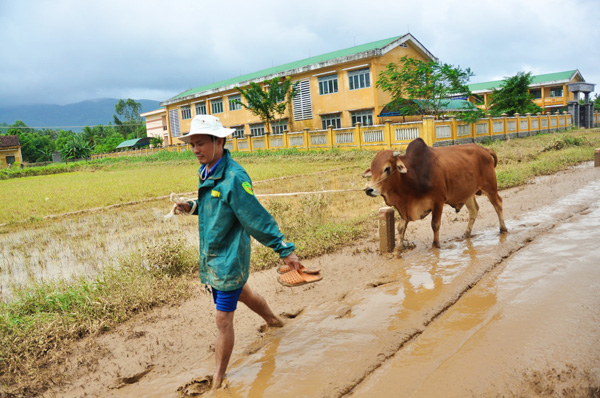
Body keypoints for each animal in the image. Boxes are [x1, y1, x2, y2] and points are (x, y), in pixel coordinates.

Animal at [364, 138, 508, 247]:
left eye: (387, 168)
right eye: (372, 169)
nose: (369, 189)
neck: (413, 174)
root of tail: (485, 150)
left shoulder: (438, 201)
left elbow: (435, 225)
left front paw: (436, 245)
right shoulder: (405, 208)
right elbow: (400, 229)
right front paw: (397, 251)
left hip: (490, 187)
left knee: (498, 204)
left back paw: (503, 229)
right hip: (467, 192)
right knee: (474, 210)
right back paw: (466, 234)